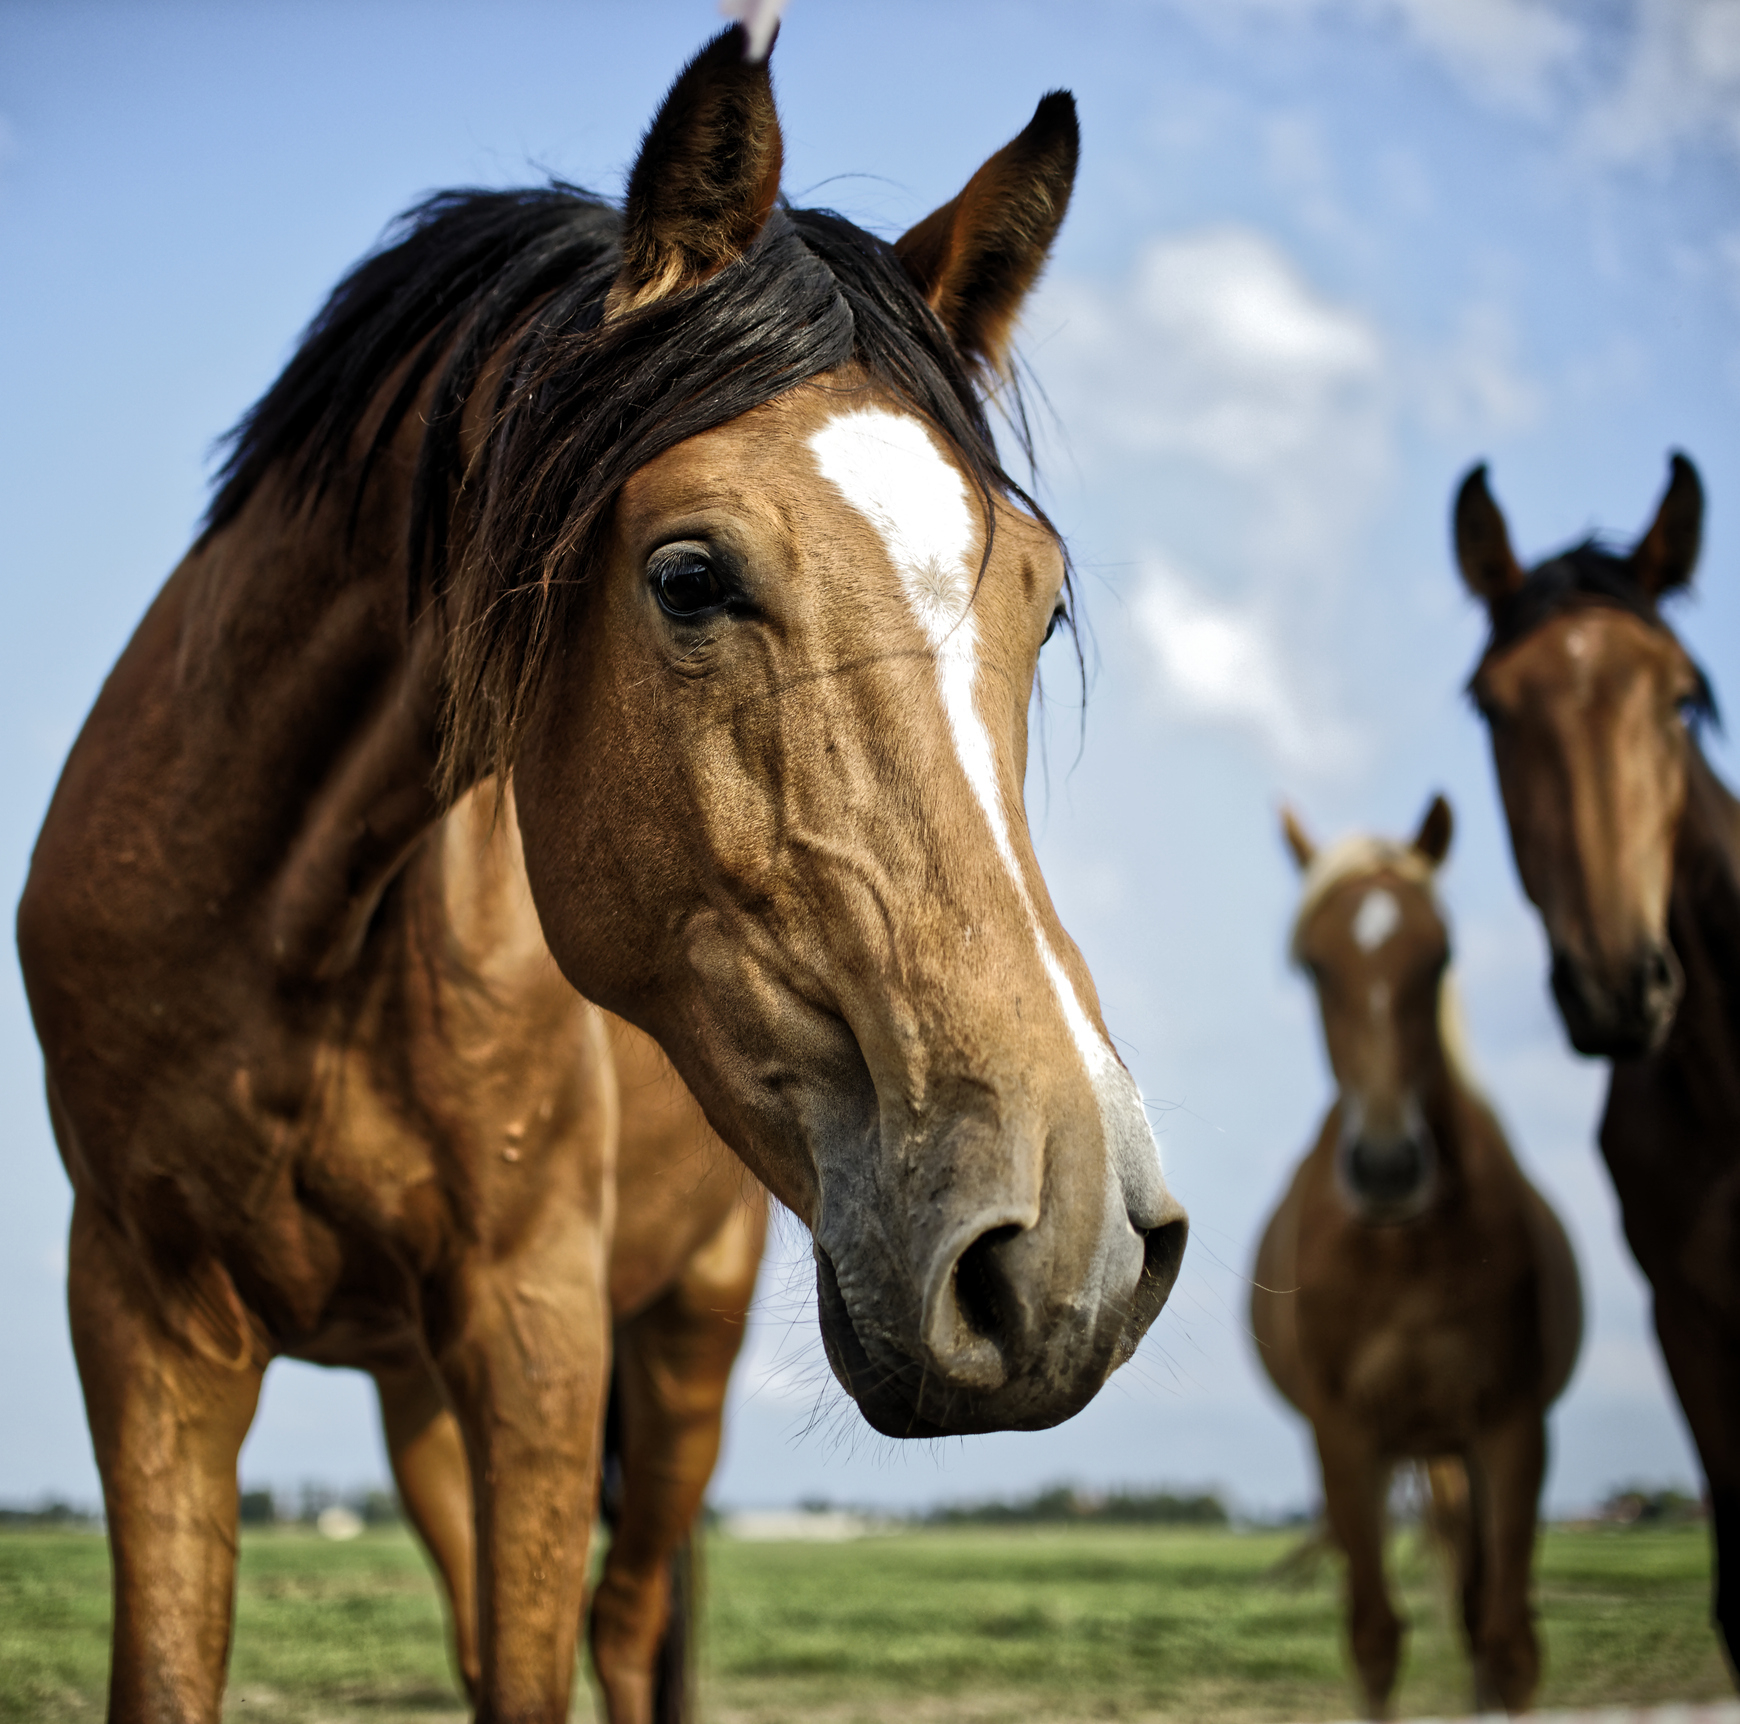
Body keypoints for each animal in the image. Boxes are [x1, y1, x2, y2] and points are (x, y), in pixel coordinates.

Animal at [13, 26, 1190, 1724]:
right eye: (688, 577)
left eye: (1038, 605)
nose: (1073, 1250)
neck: (293, 934)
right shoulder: (144, 1320)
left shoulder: (541, 1331)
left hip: (681, 1341)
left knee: (625, 1628)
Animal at [1259, 803, 1586, 1718]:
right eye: (1313, 965)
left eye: (1438, 956)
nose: (1386, 1166)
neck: (1404, 1249)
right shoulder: (1344, 1435)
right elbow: (1374, 1639)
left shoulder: (1512, 1425)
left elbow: (1508, 1642)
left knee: (1476, 1606)